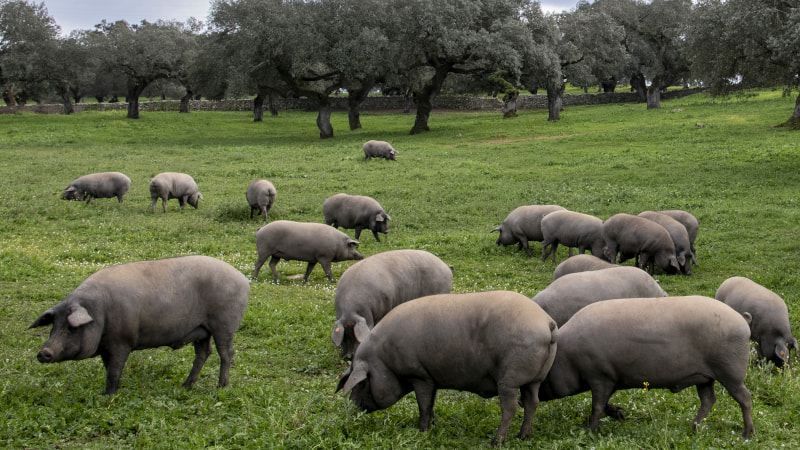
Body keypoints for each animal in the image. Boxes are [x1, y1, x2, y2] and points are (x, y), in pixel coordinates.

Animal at [338, 292, 556, 446]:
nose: (351, 406)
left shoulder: (419, 375)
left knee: (510, 407)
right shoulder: (431, 377)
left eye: (361, 383)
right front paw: (432, 425)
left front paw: (422, 431)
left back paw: (496, 442)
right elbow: (431, 403)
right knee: (532, 402)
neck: (384, 359)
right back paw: (522, 436)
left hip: (509, 378)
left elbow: (423, 404)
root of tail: (547, 323)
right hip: (534, 379)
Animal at [540, 296, 752, 440]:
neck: (568, 358)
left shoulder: (600, 375)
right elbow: (605, 403)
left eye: (544, 376)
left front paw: (589, 431)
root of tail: (742, 320)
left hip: (730, 372)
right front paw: (621, 415)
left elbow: (597, 405)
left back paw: (747, 435)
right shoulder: (612, 378)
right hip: (705, 377)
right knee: (708, 400)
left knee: (745, 397)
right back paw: (692, 427)